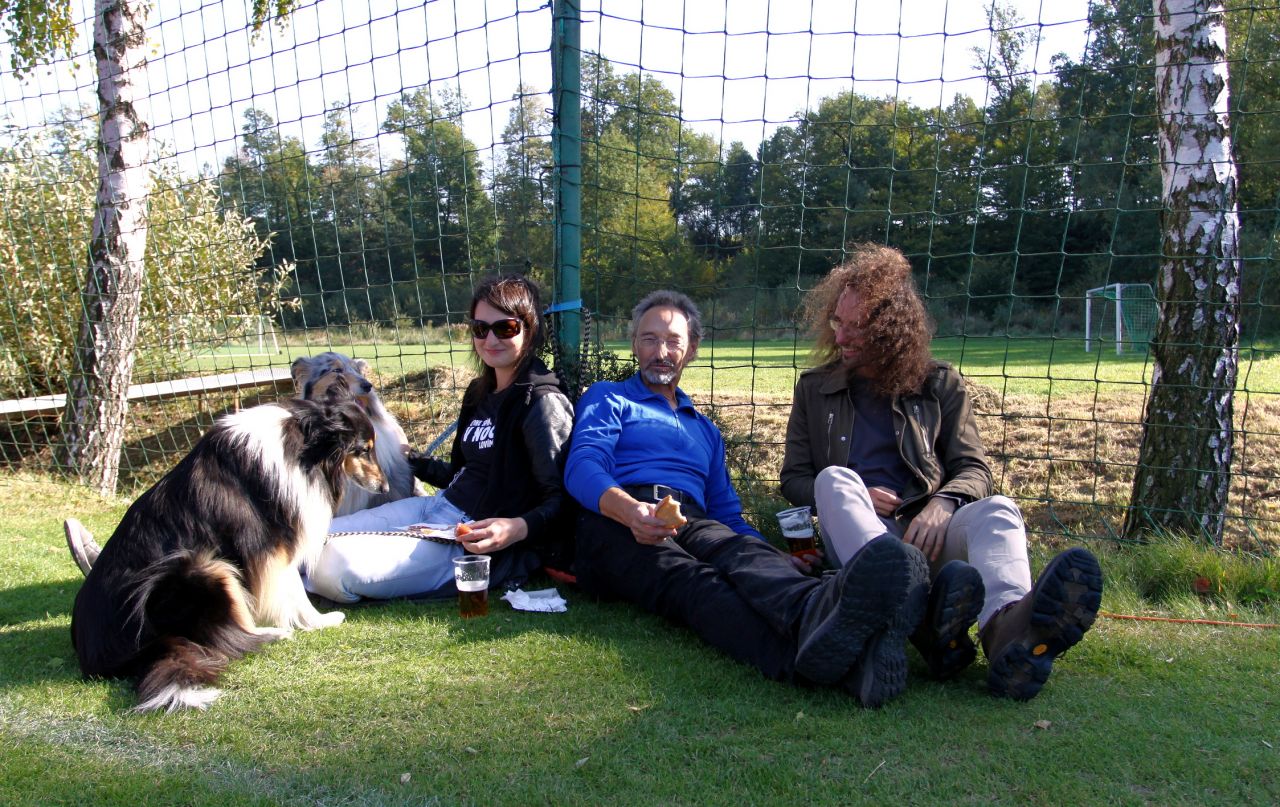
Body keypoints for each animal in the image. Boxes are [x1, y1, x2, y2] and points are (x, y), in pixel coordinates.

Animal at [70, 395, 388, 713]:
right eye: (364, 449)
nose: (385, 487)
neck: (304, 443)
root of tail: (142, 651)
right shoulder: (272, 547)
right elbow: (294, 591)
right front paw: (317, 621)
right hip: (203, 568)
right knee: (230, 634)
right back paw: (272, 634)